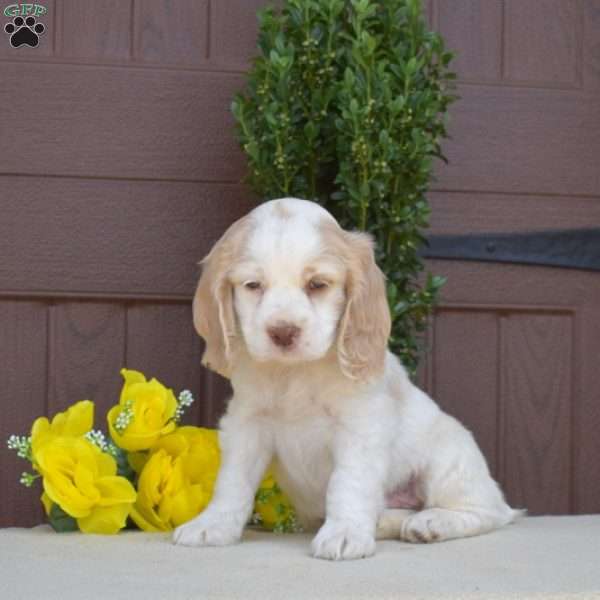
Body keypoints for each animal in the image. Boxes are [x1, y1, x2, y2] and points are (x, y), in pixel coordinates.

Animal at [173, 199, 520, 560]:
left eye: (317, 284)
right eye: (253, 285)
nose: (283, 332)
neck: (295, 373)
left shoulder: (360, 426)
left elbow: (348, 483)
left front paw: (345, 533)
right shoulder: (247, 423)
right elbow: (233, 481)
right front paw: (211, 525)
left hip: (449, 458)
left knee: (488, 511)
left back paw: (431, 522)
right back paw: (386, 522)